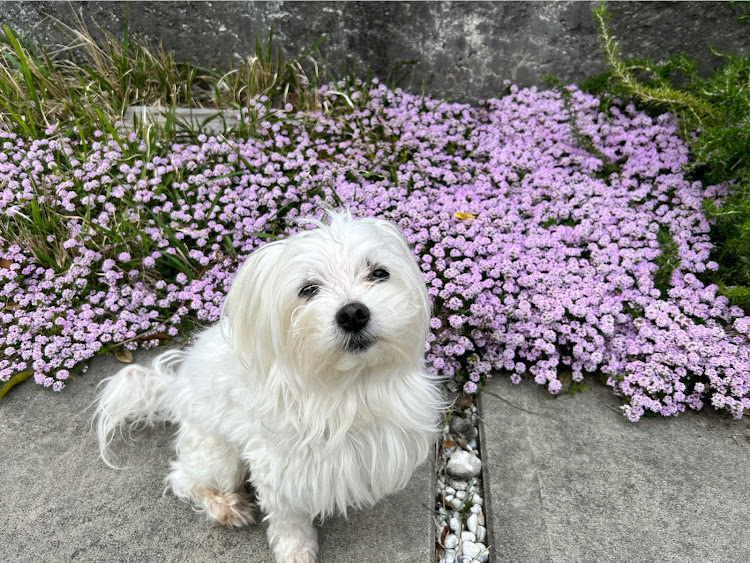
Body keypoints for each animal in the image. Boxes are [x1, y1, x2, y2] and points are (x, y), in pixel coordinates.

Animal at [96, 212, 444, 563]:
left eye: (379, 273)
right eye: (308, 289)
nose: (353, 313)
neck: (347, 387)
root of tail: (176, 385)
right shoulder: (278, 468)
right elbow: (288, 517)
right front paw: (295, 549)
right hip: (218, 453)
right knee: (184, 478)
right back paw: (226, 506)